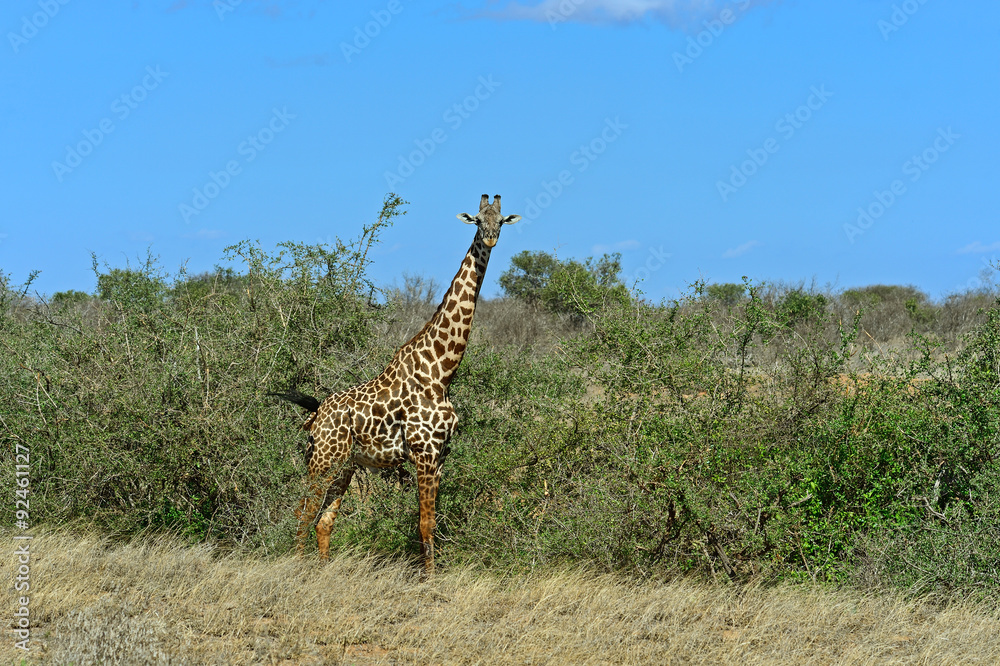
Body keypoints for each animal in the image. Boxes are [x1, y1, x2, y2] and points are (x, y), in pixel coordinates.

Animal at [274, 194, 521, 572]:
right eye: (479, 220)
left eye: (502, 220)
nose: (491, 238)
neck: (442, 370)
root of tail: (315, 417)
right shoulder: (424, 451)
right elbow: (425, 522)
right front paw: (429, 581)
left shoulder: (441, 453)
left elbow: (431, 521)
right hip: (323, 461)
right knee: (303, 513)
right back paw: (300, 570)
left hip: (345, 465)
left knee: (324, 520)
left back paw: (322, 570)